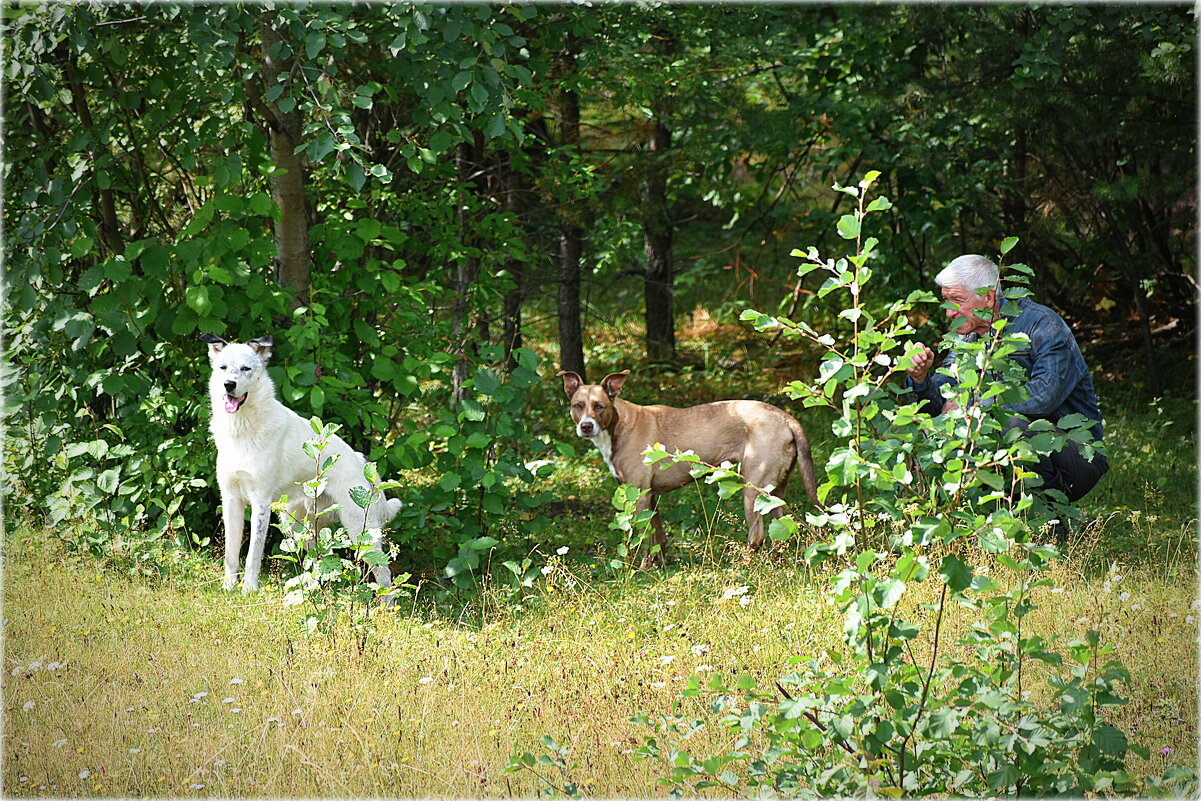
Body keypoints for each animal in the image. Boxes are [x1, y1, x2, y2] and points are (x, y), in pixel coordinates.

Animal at [199, 333, 401, 600]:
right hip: (298, 525)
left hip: (361, 529)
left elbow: (252, 556)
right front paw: (228, 588)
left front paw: (249, 590)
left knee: (383, 572)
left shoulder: (260, 502)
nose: (229, 385)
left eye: (246, 369)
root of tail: (361, 461)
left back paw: (386, 606)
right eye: (223, 368)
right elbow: (231, 555)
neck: (243, 429)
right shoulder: (231, 499)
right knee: (321, 558)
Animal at [557, 369, 821, 564]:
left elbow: (644, 540)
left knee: (757, 535)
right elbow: (658, 538)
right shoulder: (649, 496)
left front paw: (642, 570)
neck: (618, 425)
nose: (586, 426)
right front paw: (659, 567)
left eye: (599, 406)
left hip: (752, 489)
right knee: (781, 532)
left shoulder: (639, 495)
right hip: (775, 492)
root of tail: (786, 417)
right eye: (577, 405)